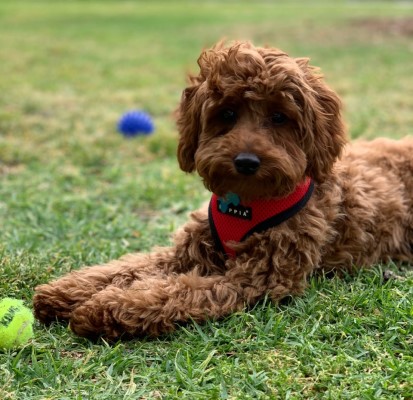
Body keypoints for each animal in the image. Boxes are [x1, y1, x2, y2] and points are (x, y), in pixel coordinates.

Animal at [33, 41, 412, 340]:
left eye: (279, 117)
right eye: (227, 113)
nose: (246, 161)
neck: (246, 201)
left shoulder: (254, 278)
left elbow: (177, 290)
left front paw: (108, 307)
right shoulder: (185, 253)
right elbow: (127, 266)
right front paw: (66, 292)